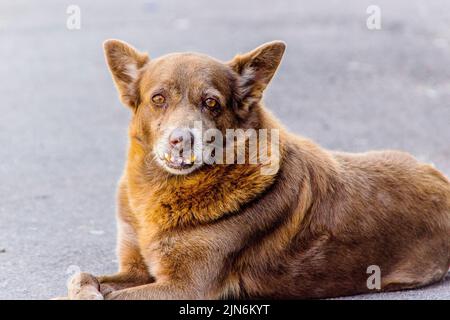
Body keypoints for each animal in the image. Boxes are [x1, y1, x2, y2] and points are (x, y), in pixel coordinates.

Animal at [63, 40, 450, 300]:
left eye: (211, 103)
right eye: (158, 99)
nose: (181, 140)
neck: (163, 190)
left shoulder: (187, 286)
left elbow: (112, 296)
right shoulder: (135, 268)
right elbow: (82, 278)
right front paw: (86, 289)